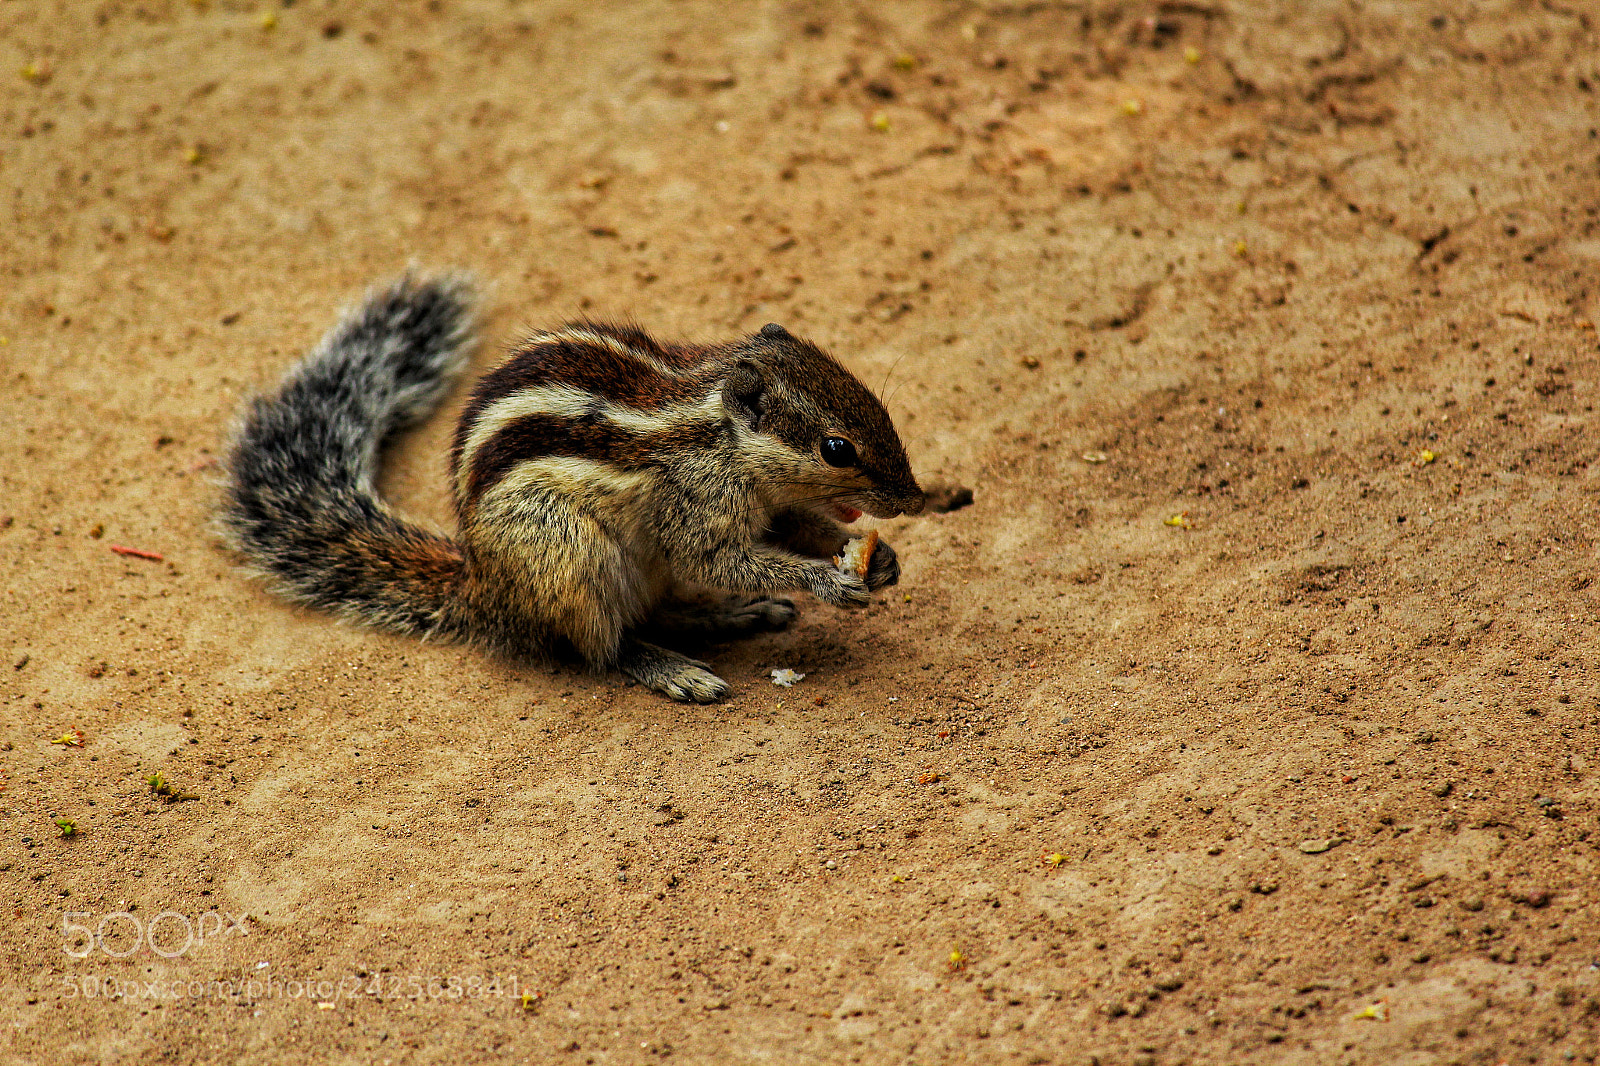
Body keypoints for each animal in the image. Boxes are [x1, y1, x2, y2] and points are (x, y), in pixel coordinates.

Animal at [220, 274, 926, 702]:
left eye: (872, 399)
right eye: (837, 449)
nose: (914, 501)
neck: (724, 440)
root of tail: (483, 589)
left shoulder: (772, 507)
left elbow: (795, 532)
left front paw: (878, 558)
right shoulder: (695, 508)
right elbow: (719, 560)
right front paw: (829, 581)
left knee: (658, 613)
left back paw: (735, 616)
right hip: (571, 556)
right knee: (604, 646)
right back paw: (673, 667)